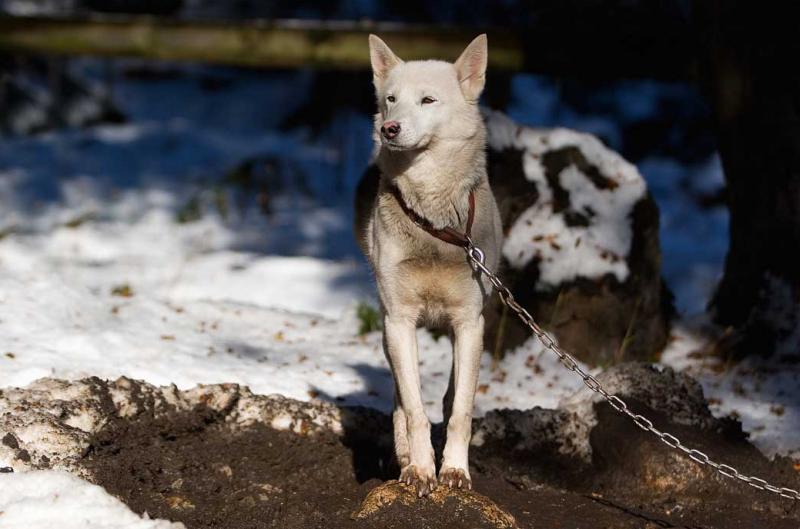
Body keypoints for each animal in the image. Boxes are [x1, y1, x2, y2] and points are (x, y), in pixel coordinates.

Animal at [356, 34, 500, 496]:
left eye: (428, 100)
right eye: (391, 100)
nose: (389, 129)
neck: (434, 224)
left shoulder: (470, 322)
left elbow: (460, 413)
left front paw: (454, 470)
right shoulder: (399, 321)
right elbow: (414, 409)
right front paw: (420, 470)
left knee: (452, 394)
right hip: (390, 329)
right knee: (402, 400)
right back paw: (402, 458)